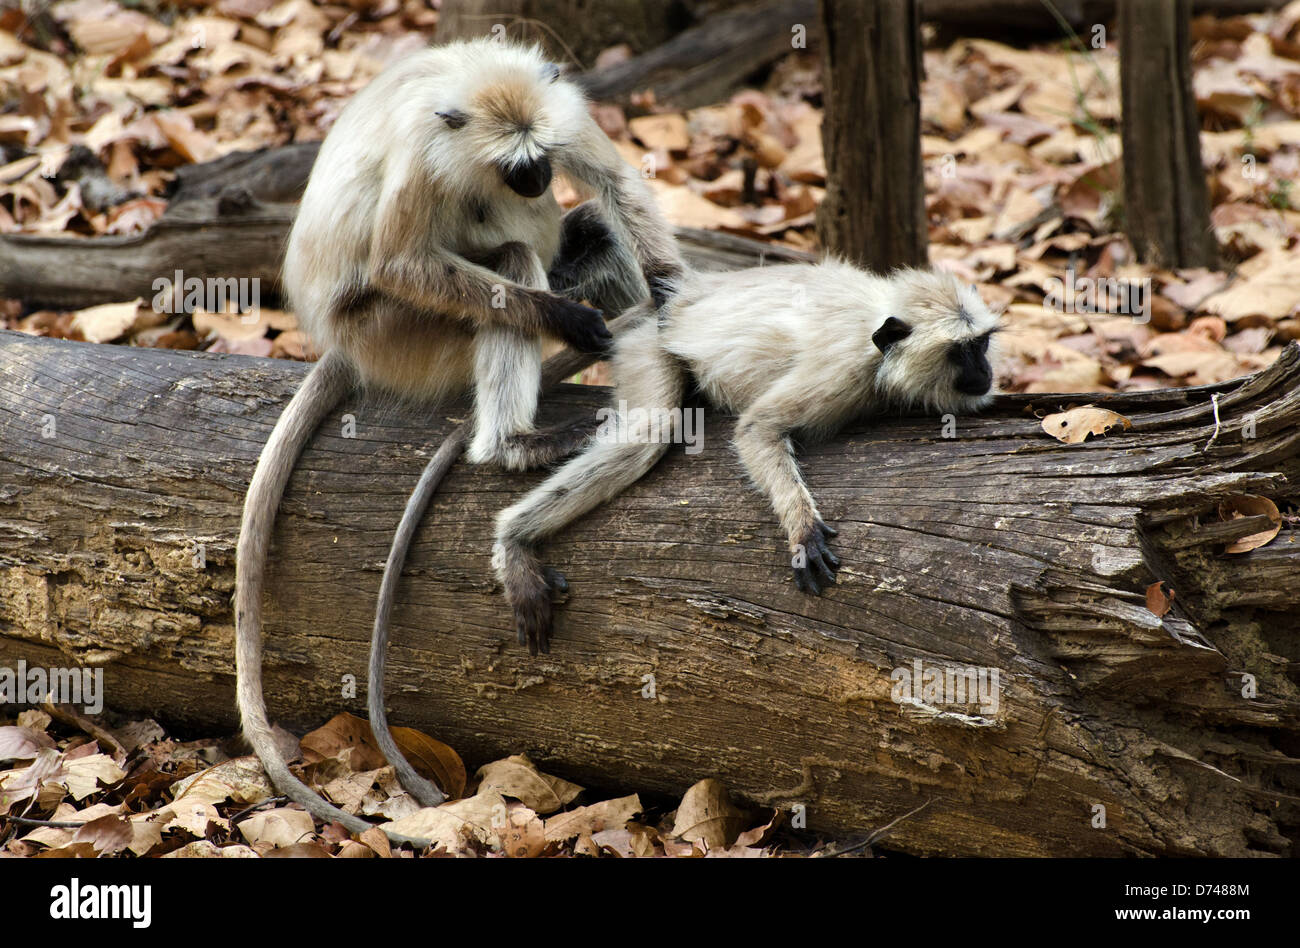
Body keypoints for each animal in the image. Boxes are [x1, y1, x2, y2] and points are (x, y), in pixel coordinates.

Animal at [235, 38, 686, 842]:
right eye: (515, 166)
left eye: (538, 160)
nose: (536, 180)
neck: (465, 76)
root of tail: (343, 344)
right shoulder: (425, 153)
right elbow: (401, 264)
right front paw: (564, 321)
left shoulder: (558, 108)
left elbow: (615, 185)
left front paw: (670, 292)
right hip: (396, 332)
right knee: (506, 260)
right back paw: (514, 442)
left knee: (595, 229)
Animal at [491, 262, 998, 655]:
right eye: (962, 352)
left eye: (982, 345)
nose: (986, 372)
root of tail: (680, 296)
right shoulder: (843, 370)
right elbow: (756, 427)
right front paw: (802, 530)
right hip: (648, 349)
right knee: (649, 433)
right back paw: (514, 538)